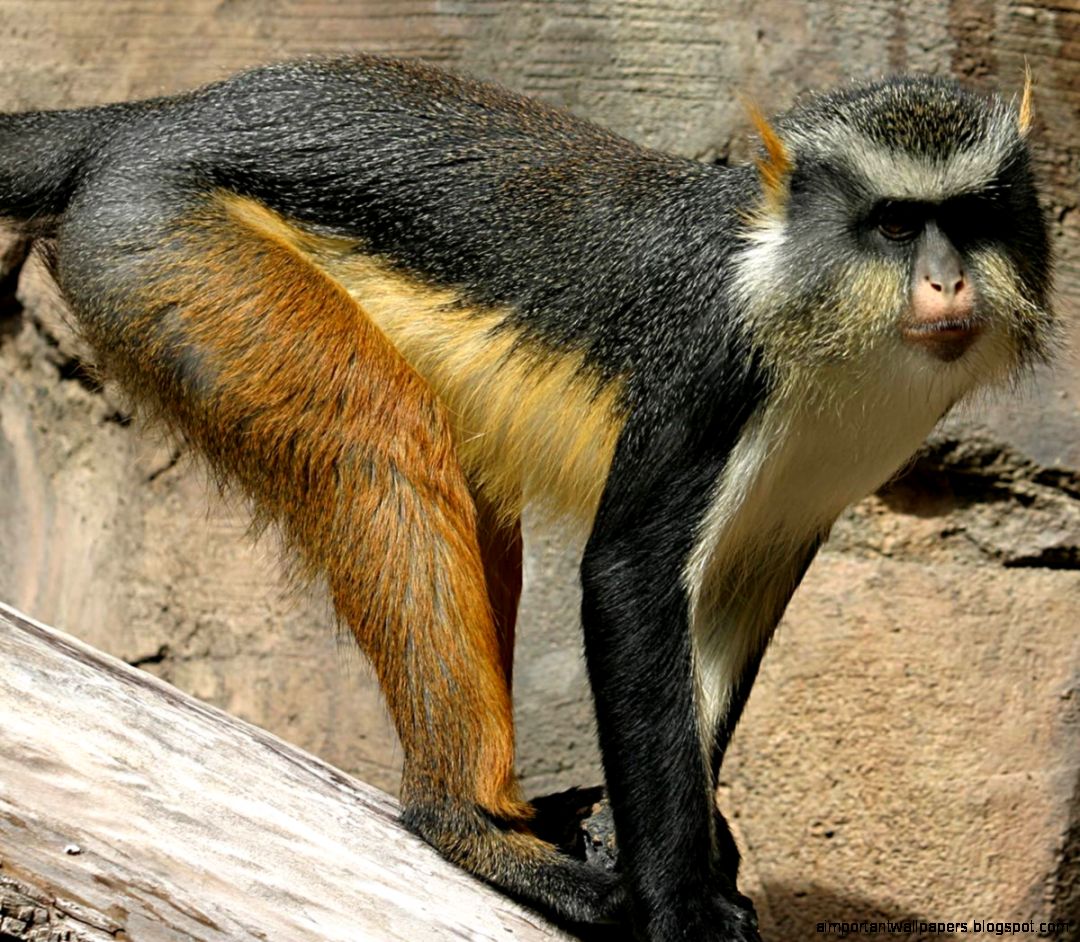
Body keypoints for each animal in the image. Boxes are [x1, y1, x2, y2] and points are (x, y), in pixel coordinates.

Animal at [0, 56, 1053, 941]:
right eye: (896, 223)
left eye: (971, 217)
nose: (947, 280)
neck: (797, 283)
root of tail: (146, 121)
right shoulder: (709, 375)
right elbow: (627, 582)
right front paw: (681, 904)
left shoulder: (799, 504)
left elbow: (726, 619)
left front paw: (680, 845)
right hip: (184, 261)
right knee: (380, 445)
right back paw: (469, 823)